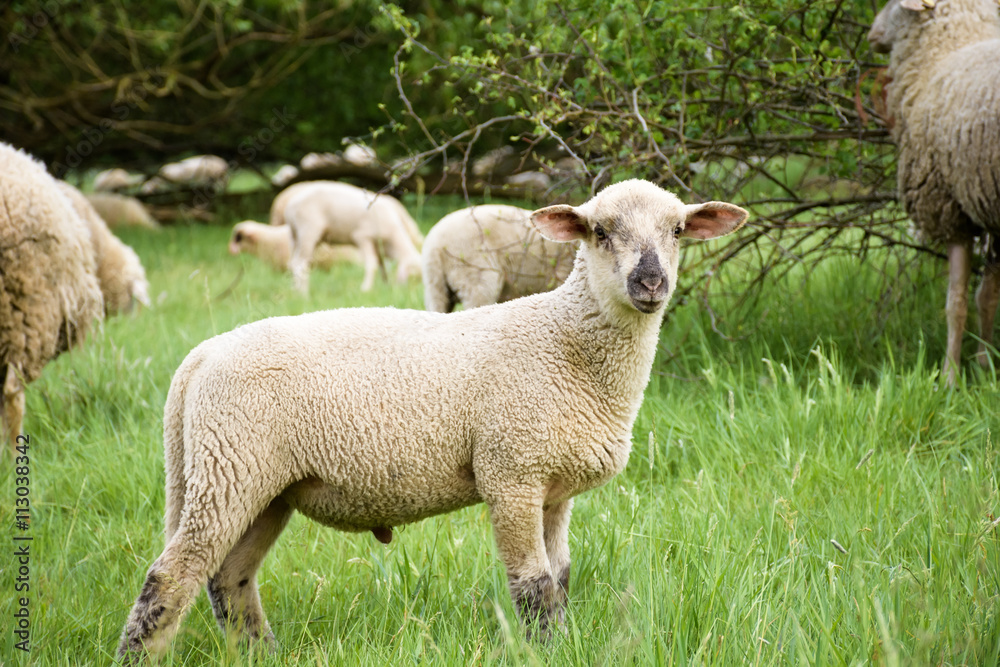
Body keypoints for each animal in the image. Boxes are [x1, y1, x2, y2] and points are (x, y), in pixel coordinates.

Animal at [281, 181, 424, 293]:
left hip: (294, 235)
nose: (409, 293)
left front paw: (385, 286)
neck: (392, 240)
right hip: (308, 230)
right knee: (301, 264)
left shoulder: (378, 247)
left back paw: (294, 291)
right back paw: (304, 295)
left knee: (292, 263)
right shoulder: (362, 237)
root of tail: (290, 206)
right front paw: (366, 289)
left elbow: (382, 266)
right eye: (413, 277)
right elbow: (372, 264)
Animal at [868, 0, 1000, 383]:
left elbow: (955, 303)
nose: (871, 33)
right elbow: (987, 297)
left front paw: (949, 377)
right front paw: (985, 366)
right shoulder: (987, 205)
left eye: (893, 5)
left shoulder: (947, 208)